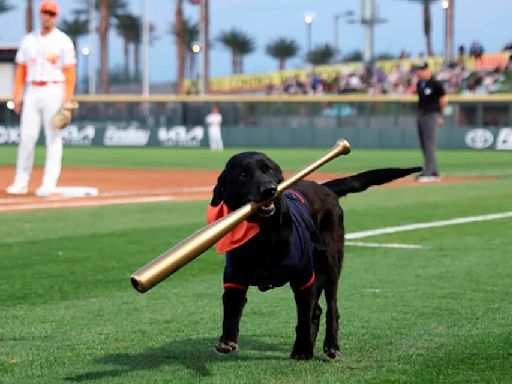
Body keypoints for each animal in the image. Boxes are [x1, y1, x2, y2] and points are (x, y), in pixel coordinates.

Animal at [208, 151, 420, 360]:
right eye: (243, 175)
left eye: (269, 171)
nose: (269, 190)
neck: (264, 235)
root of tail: (324, 187)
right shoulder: (234, 278)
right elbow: (231, 309)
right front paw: (227, 340)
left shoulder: (304, 279)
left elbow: (304, 318)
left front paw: (302, 350)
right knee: (317, 311)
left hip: (331, 265)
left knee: (331, 308)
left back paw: (330, 345)